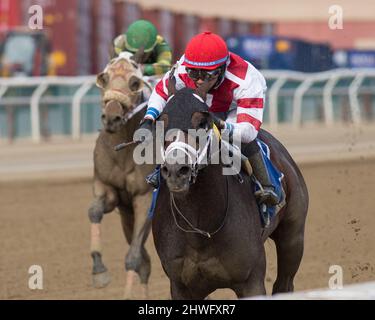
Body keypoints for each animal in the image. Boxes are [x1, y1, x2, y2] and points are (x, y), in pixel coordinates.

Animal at [89, 51, 156, 298]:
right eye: (104, 78)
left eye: (134, 83)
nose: (111, 118)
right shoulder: (109, 190)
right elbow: (94, 212)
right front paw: (99, 271)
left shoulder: (145, 198)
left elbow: (133, 258)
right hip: (127, 217)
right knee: (146, 264)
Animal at [151, 85, 310, 300]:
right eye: (162, 122)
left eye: (202, 122)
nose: (176, 171)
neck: (201, 229)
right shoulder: (180, 286)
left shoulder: (251, 281)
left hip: (293, 236)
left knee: (284, 283)